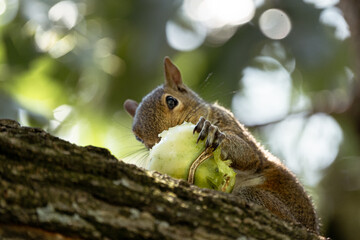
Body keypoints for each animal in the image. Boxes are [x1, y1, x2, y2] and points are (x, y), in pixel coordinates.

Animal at [123, 56, 318, 232]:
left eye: (171, 101)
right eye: (138, 138)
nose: (158, 140)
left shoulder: (230, 123)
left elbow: (249, 155)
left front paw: (213, 132)